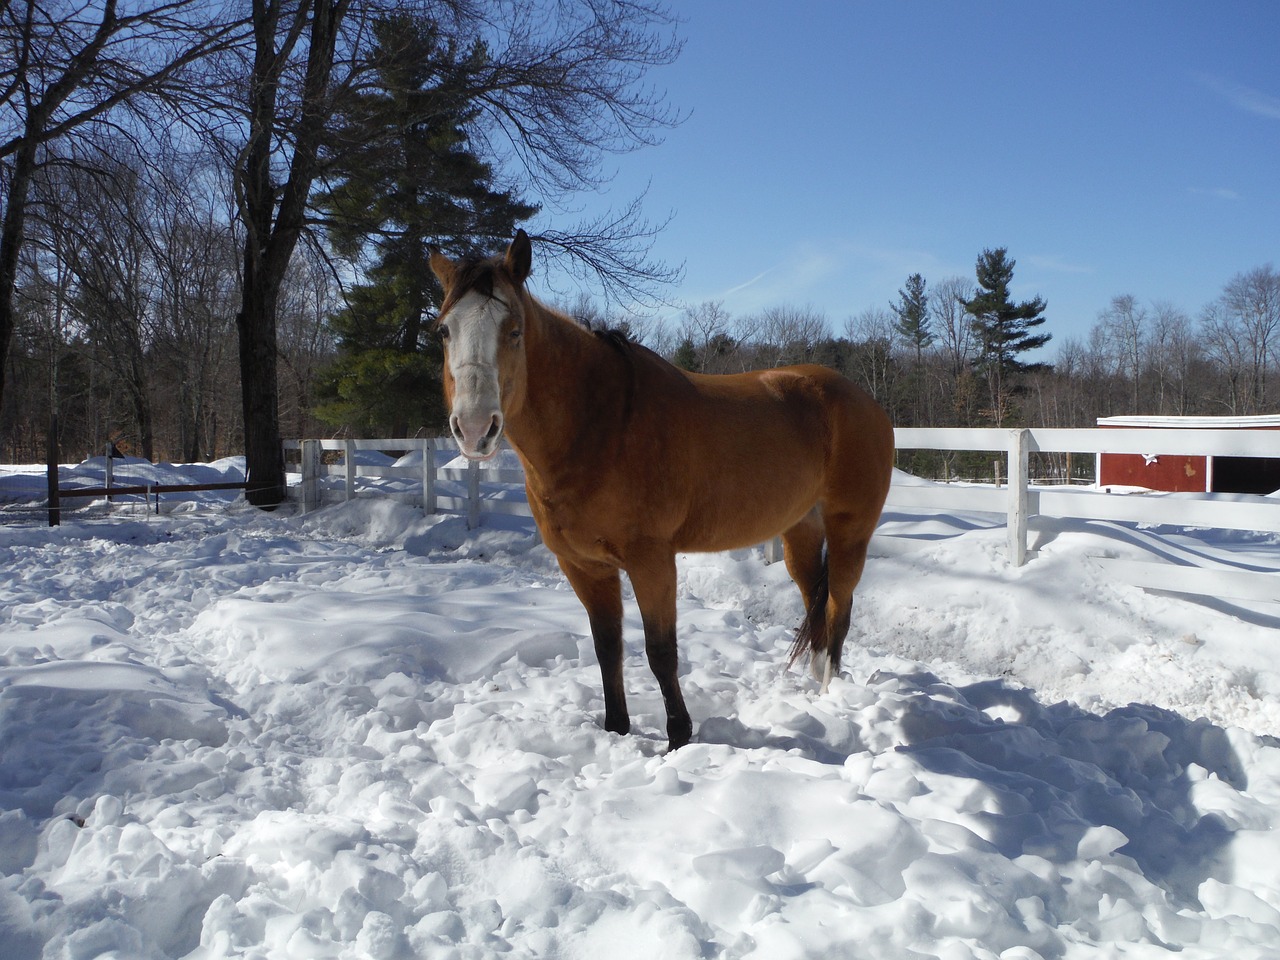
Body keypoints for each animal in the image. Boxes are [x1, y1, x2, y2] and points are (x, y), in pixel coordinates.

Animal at [430, 232, 890, 752]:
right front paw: (616, 728)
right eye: (444, 331)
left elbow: (660, 651)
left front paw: (678, 739)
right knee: (817, 603)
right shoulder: (584, 566)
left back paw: (831, 698)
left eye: (514, 331)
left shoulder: (651, 561)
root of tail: (863, 401)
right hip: (800, 533)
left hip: (851, 531)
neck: (602, 424)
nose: (474, 428)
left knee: (838, 608)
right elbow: (607, 647)